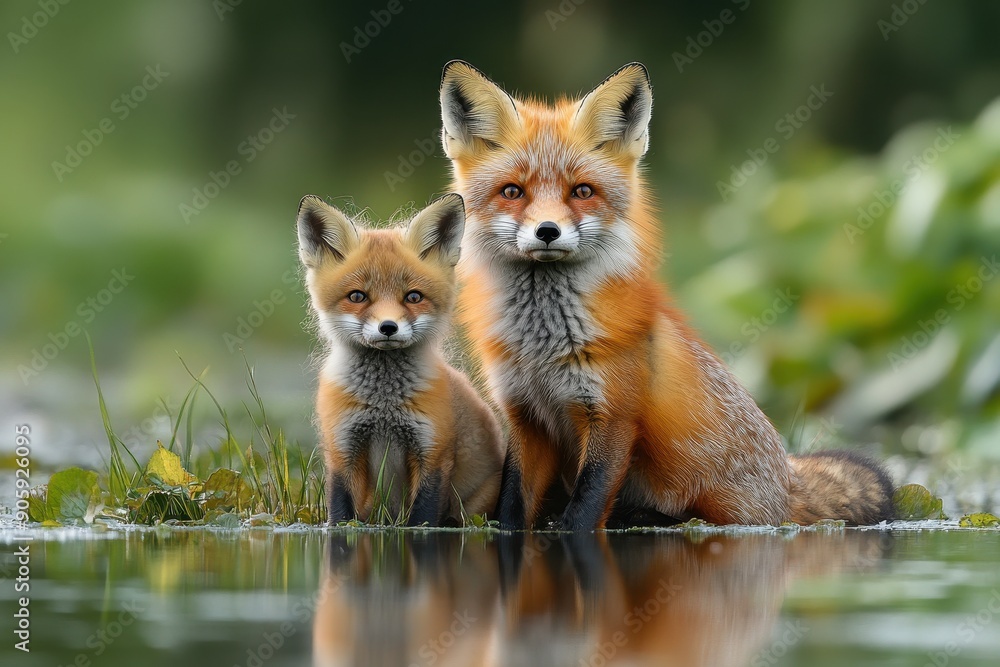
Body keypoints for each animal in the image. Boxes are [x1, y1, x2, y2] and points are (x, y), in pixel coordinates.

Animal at [296, 193, 505, 526]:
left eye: (413, 297)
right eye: (357, 296)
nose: (388, 327)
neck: (384, 406)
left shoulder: (432, 452)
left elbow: (423, 518)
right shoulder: (342, 449)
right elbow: (340, 515)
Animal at [438, 60, 895, 530]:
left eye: (582, 191)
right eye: (513, 191)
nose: (548, 231)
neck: (542, 346)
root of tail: (787, 481)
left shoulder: (613, 416)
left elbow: (584, 510)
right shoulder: (524, 417)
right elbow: (511, 507)